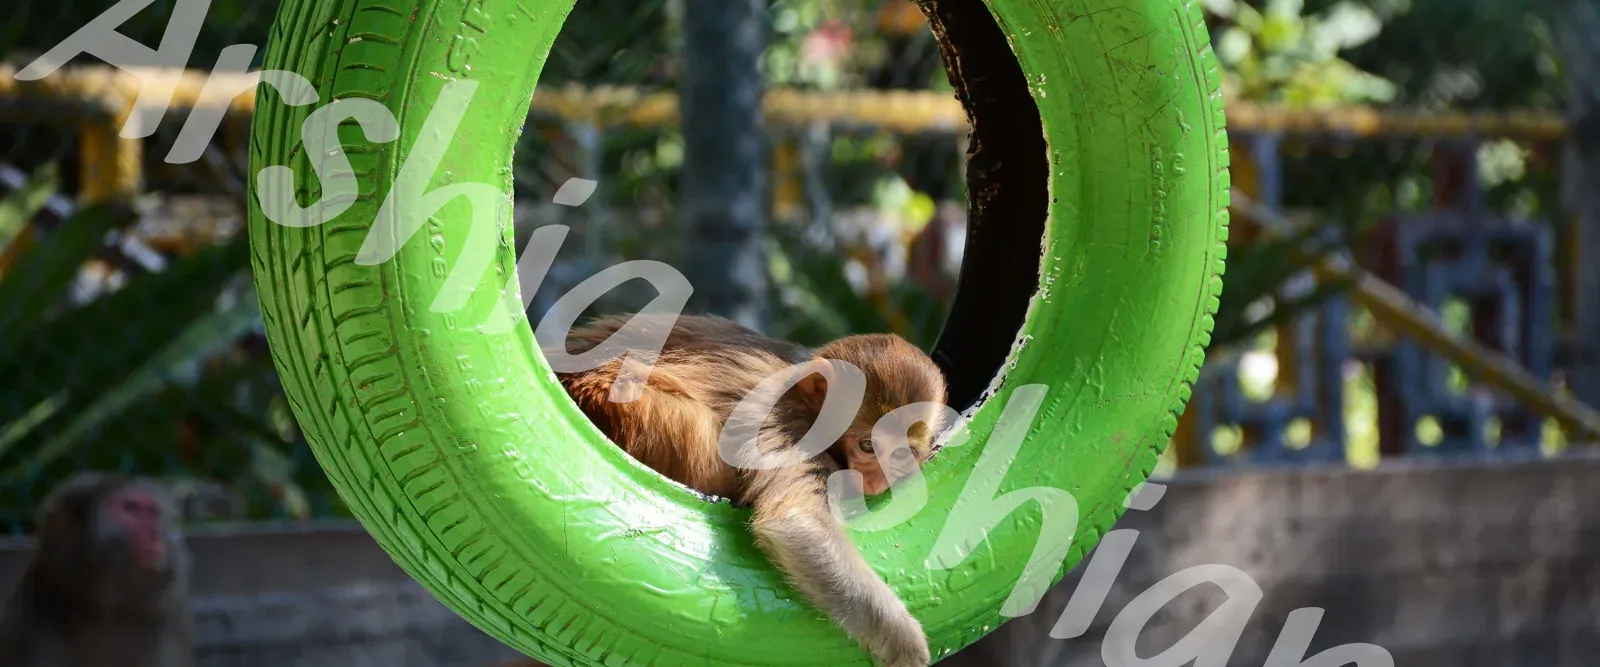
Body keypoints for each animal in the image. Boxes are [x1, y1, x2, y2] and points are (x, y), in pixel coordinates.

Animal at [550, 313, 948, 667]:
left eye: (903, 453)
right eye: (867, 446)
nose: (879, 477)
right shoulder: (789, 426)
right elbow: (797, 524)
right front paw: (905, 643)